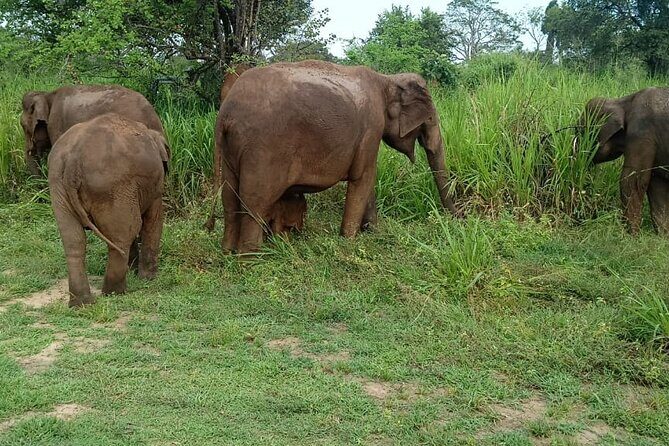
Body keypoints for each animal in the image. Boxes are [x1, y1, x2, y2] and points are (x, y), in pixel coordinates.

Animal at [48, 113, 169, 307]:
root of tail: (73, 160)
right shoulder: (154, 186)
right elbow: (153, 219)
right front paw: (147, 278)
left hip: (58, 187)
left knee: (74, 241)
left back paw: (82, 304)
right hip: (113, 188)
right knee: (123, 234)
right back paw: (115, 293)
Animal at [215, 60, 458, 254]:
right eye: (430, 118)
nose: (456, 219)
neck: (387, 79)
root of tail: (225, 114)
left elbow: (367, 179)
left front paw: (374, 232)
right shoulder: (372, 126)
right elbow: (364, 176)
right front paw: (350, 241)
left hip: (232, 150)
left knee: (229, 197)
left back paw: (228, 253)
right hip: (263, 150)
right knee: (255, 201)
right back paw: (251, 259)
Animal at [580, 87, 669, 234]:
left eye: (580, 132)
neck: (622, 101)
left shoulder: (641, 134)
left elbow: (632, 181)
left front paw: (631, 234)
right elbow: (658, 186)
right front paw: (663, 235)